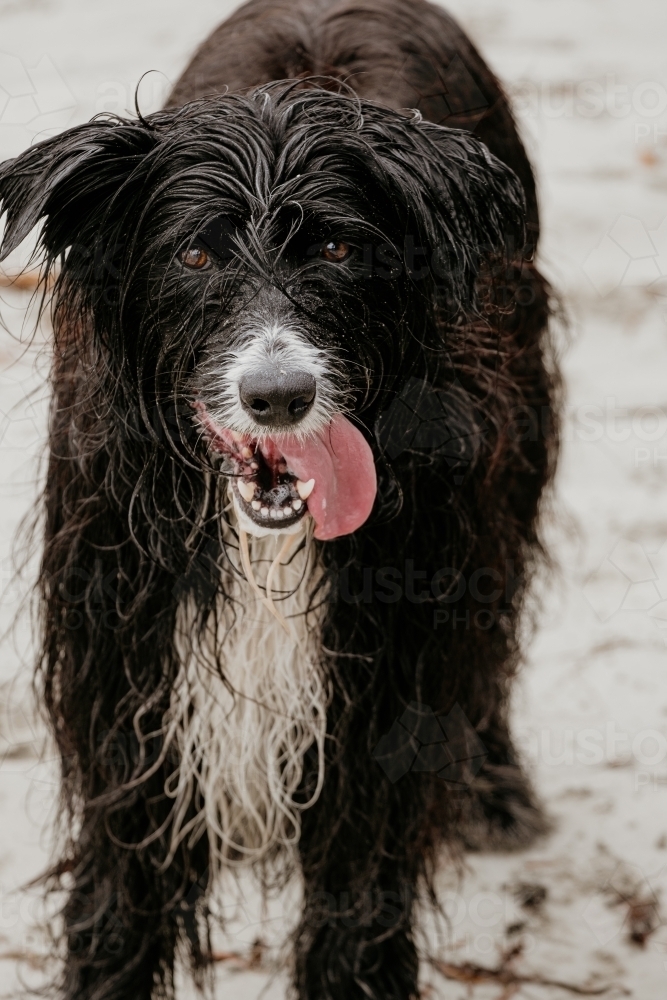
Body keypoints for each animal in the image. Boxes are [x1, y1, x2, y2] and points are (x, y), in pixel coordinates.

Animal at [1, 0, 560, 996]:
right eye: (192, 253)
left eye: (337, 247)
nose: (278, 397)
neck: (263, 545)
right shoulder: (129, 704)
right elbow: (116, 913)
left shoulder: (381, 719)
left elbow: (356, 927)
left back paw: (493, 783)